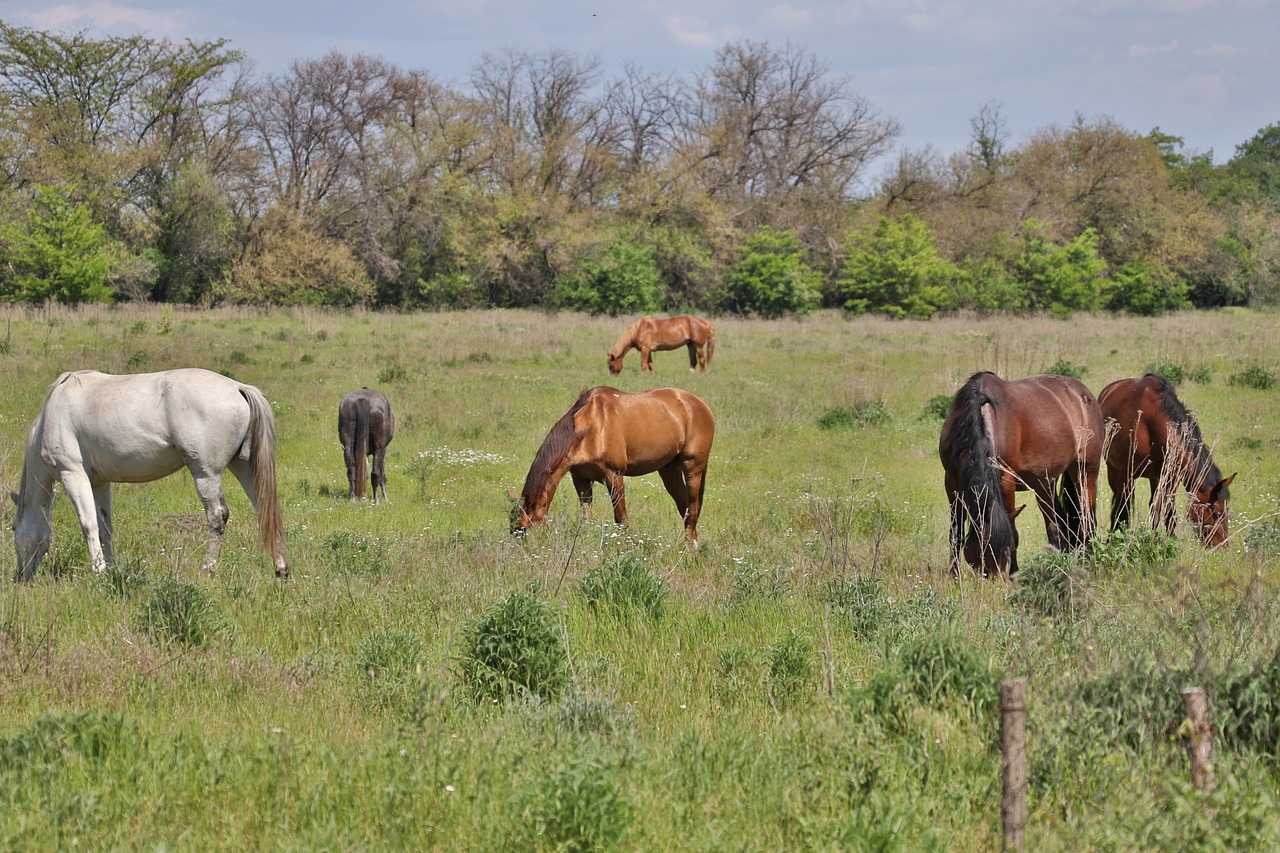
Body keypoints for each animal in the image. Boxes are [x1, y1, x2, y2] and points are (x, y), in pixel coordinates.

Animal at [10, 368, 290, 581]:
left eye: (12, 528)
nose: (19, 577)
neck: (50, 416)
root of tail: (238, 388)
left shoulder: (73, 474)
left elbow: (88, 524)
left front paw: (99, 571)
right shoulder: (100, 483)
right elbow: (105, 528)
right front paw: (111, 569)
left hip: (206, 474)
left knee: (217, 518)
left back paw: (207, 569)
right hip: (244, 467)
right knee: (266, 509)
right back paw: (281, 569)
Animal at [509, 386, 716, 545]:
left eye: (524, 530)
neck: (592, 426)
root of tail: (699, 404)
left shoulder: (614, 476)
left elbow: (621, 517)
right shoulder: (580, 479)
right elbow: (587, 518)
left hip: (693, 467)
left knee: (692, 509)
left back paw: (693, 549)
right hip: (669, 469)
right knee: (684, 507)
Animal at [936, 371, 1105, 573]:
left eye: (1005, 550)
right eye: (981, 552)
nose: (994, 577)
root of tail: (1084, 395)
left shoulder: (1006, 479)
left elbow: (1013, 531)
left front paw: (1014, 573)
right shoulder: (952, 481)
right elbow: (956, 533)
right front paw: (954, 575)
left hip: (1085, 472)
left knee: (1087, 521)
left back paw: (1087, 560)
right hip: (1044, 483)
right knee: (1057, 523)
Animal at [1095, 371, 1233, 545]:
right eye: (1216, 513)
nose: (1222, 546)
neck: (1149, 424)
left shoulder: (1170, 478)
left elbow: (1166, 512)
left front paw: (1164, 540)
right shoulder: (1126, 474)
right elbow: (1123, 510)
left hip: (1154, 478)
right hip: (1114, 471)